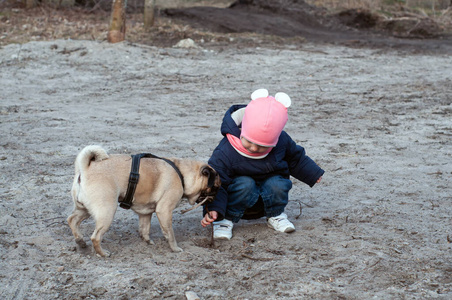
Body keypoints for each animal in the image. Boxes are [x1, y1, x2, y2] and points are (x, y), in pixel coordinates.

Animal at [67, 144, 221, 256]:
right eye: (215, 186)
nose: (216, 194)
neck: (182, 174)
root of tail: (85, 169)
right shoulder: (164, 210)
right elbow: (170, 233)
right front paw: (175, 248)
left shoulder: (145, 213)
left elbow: (145, 228)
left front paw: (147, 241)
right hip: (107, 210)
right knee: (96, 237)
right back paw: (103, 253)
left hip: (84, 208)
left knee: (72, 220)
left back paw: (80, 241)